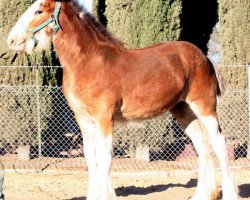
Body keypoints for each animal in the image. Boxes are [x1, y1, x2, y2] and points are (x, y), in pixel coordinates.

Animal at [7, 0, 237, 199]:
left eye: (38, 11)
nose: (11, 40)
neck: (89, 63)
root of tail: (204, 57)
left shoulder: (104, 118)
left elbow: (105, 158)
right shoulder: (84, 120)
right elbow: (91, 158)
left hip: (204, 107)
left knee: (218, 142)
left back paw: (229, 193)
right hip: (183, 111)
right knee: (202, 145)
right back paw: (203, 195)